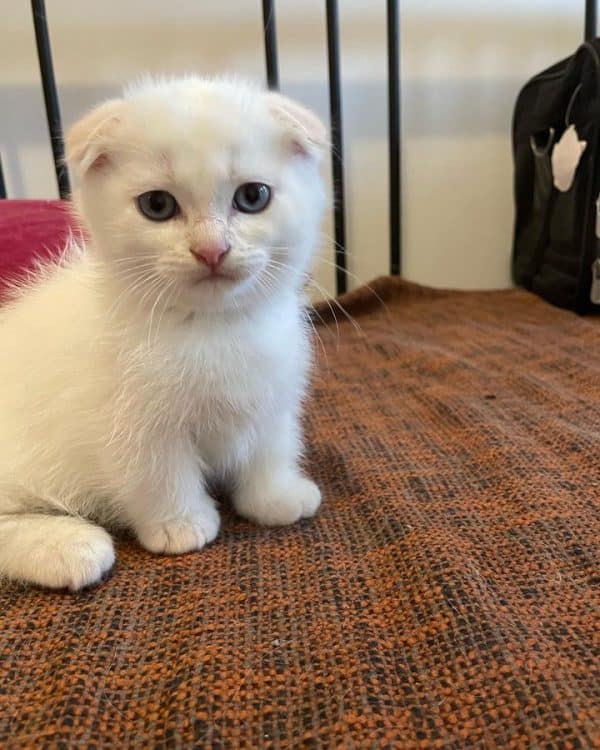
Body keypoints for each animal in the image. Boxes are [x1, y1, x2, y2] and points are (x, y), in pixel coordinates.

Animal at [0, 78, 326, 592]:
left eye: (253, 196)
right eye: (157, 206)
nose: (212, 249)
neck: (213, 327)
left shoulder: (273, 393)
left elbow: (271, 444)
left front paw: (276, 496)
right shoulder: (132, 420)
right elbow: (157, 473)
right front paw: (181, 524)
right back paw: (67, 547)